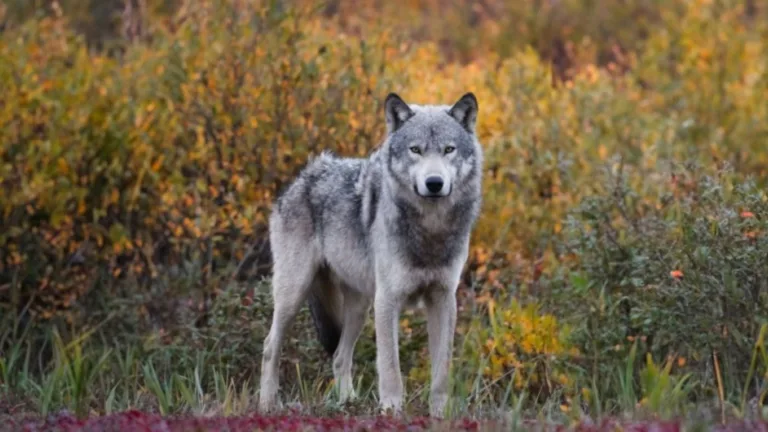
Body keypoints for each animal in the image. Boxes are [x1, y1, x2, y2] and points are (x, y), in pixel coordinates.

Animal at [257, 92, 483, 418]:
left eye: (448, 150)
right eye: (416, 150)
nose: (434, 183)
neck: (430, 230)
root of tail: (302, 177)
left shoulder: (443, 299)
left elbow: (442, 370)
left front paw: (441, 415)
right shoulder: (388, 300)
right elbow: (390, 368)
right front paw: (391, 412)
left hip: (359, 307)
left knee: (339, 356)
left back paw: (347, 403)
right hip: (294, 294)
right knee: (269, 346)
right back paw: (267, 405)